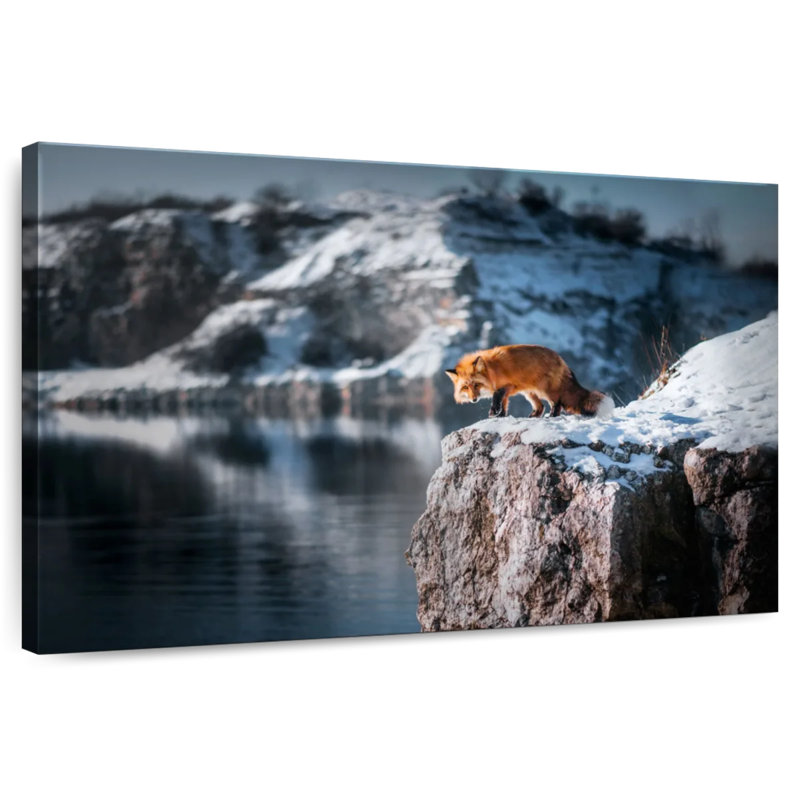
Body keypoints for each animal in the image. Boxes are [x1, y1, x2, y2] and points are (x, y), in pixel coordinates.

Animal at [445, 344, 614, 419]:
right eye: (465, 387)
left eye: (476, 385)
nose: (474, 400)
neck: (492, 371)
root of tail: (561, 359)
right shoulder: (507, 389)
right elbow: (504, 404)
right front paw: (501, 416)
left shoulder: (504, 386)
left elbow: (497, 400)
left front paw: (494, 412)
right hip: (529, 393)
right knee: (540, 407)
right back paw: (533, 416)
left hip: (546, 391)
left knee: (556, 403)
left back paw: (552, 416)